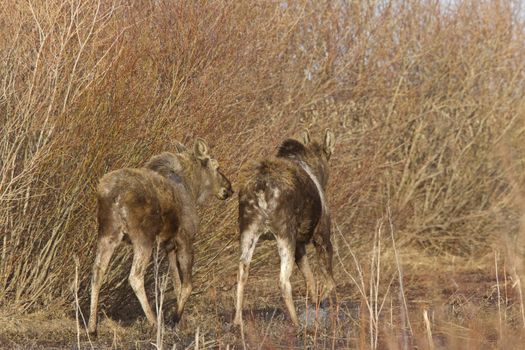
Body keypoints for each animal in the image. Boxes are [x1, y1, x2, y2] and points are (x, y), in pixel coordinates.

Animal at [87, 139, 231, 334]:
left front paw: (182, 323)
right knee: (135, 276)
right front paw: (174, 319)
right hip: (143, 239)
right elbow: (187, 285)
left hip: (107, 234)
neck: (193, 188)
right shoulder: (185, 238)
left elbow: (177, 284)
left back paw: (92, 327)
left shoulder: (168, 246)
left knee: (97, 272)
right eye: (216, 166)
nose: (228, 188)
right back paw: (155, 322)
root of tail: (112, 195)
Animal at [234, 130, 336, 326]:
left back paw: (237, 320)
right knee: (283, 280)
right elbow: (329, 282)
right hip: (284, 233)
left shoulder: (300, 244)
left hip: (248, 231)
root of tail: (261, 189)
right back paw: (296, 323)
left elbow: (310, 279)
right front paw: (322, 302)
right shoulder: (321, 234)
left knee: (242, 270)